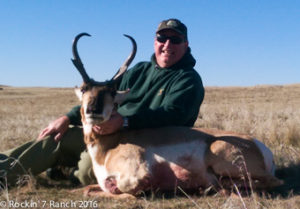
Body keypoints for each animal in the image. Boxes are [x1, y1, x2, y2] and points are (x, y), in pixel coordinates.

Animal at [71, 32, 282, 198]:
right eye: (84, 89)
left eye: (112, 92)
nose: (94, 110)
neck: (111, 145)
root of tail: (260, 146)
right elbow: (87, 189)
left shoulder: (135, 177)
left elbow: (123, 190)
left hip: (221, 158)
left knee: (272, 182)